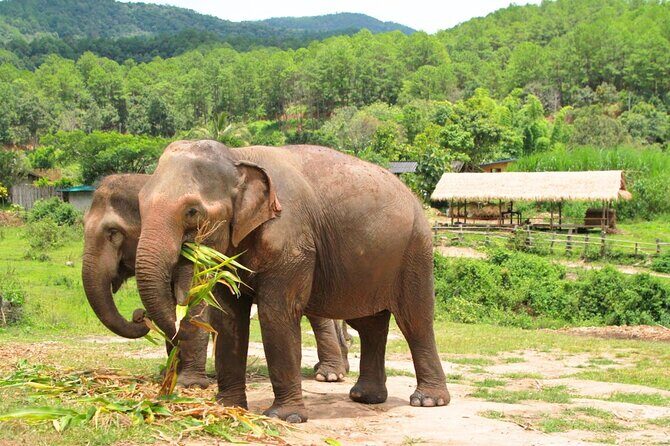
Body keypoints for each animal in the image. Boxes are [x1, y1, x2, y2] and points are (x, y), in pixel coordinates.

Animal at [82, 173, 349, 389]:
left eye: (113, 233)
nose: (139, 315)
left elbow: (194, 300)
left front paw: (189, 383)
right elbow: (173, 304)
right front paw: (170, 373)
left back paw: (329, 375)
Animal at [133, 140, 449, 423]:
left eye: (192, 211)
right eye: (140, 205)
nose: (142, 317)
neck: (237, 155)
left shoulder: (292, 241)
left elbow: (277, 314)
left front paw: (286, 417)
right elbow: (229, 317)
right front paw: (228, 408)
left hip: (416, 249)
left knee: (415, 320)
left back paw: (428, 401)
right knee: (370, 324)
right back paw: (364, 397)